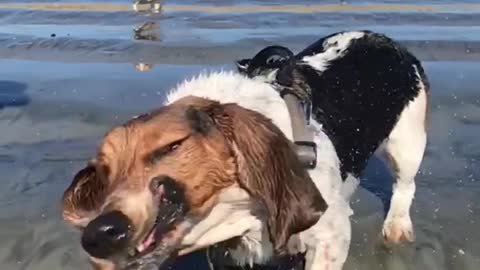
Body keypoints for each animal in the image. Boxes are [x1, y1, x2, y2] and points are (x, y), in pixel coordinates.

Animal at [61, 30, 432, 270]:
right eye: (103, 173)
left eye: (172, 146)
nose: (97, 234)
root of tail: (383, 39)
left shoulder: (331, 237)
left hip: (407, 144)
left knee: (406, 185)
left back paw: (397, 226)